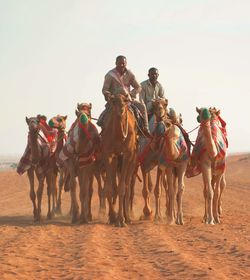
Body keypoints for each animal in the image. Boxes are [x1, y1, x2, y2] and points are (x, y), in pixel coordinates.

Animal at [101, 94, 138, 228]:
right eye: (114, 101)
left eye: (125, 101)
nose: (121, 110)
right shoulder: (109, 154)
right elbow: (110, 188)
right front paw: (112, 216)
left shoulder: (127, 154)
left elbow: (122, 188)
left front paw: (121, 220)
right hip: (117, 160)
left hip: (133, 160)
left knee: (127, 187)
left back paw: (128, 218)